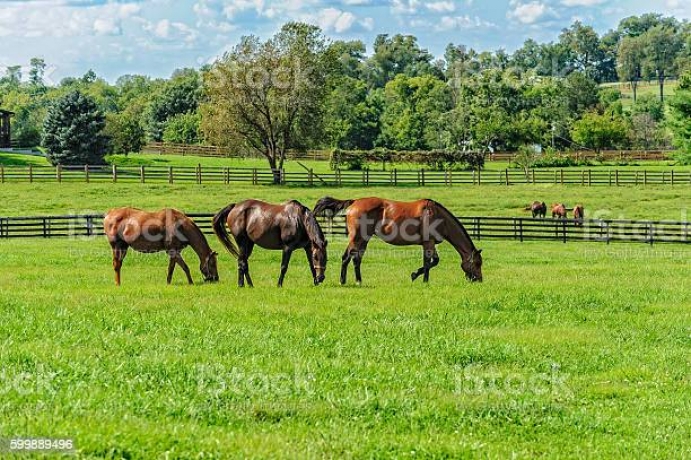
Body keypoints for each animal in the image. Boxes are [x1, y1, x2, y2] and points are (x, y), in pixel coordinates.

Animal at [314, 197, 484, 284]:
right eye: (477, 263)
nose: (479, 280)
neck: (437, 216)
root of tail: (354, 202)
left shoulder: (430, 244)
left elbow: (433, 261)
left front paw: (417, 275)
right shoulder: (428, 243)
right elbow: (428, 262)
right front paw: (421, 278)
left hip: (364, 239)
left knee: (356, 259)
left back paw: (358, 280)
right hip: (357, 238)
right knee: (346, 257)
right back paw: (343, 281)